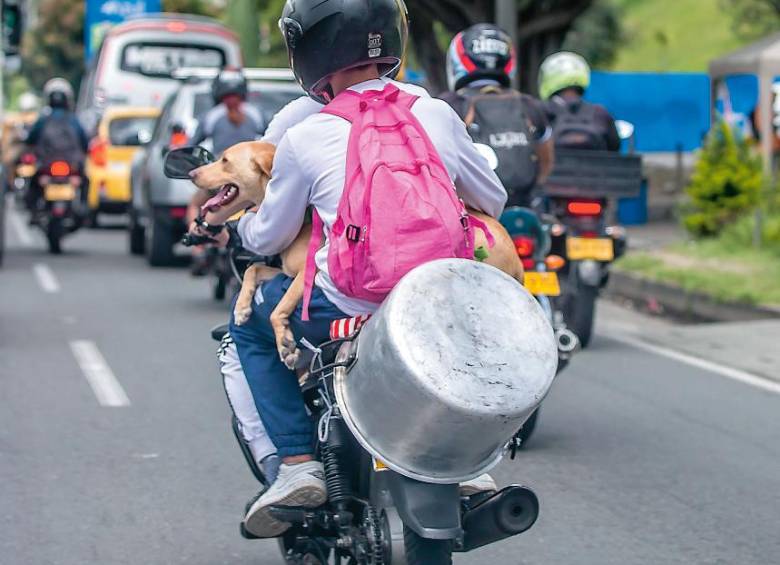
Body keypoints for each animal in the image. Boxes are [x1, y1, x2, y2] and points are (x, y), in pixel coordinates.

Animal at [190, 139, 524, 364]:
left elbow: (277, 308)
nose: (192, 173)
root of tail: (519, 265)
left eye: (224, 160)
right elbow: (252, 269)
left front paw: (284, 342)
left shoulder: (305, 276)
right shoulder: (283, 270)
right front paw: (242, 307)